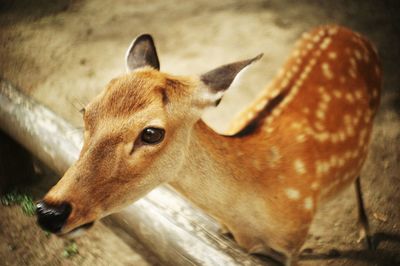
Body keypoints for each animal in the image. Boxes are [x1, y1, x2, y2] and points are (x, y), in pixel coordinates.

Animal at [36, 24, 382, 264]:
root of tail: (347, 30)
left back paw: (366, 233)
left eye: (151, 133)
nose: (49, 210)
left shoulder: (293, 243)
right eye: (86, 111)